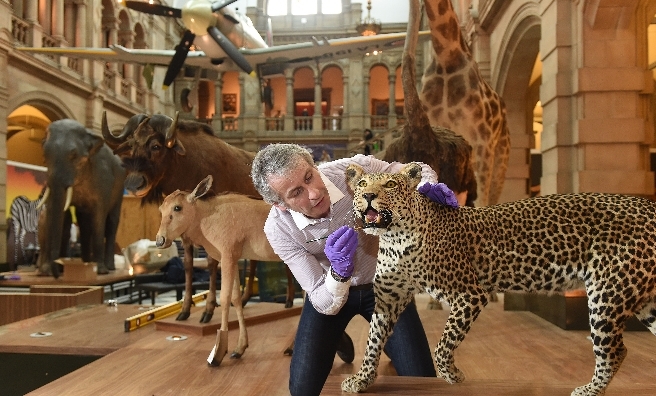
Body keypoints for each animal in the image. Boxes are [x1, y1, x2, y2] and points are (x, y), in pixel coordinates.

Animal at [38, 119, 127, 276]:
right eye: (45, 155)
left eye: (74, 155)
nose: (56, 275)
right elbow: (61, 217)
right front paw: (50, 271)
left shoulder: (103, 178)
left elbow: (99, 217)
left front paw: (101, 271)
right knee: (84, 224)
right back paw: (87, 264)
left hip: (119, 189)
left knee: (111, 223)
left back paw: (108, 267)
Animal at [340, 162, 652, 394]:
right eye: (362, 184)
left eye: (390, 185)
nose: (368, 196)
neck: (394, 238)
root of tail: (649, 207)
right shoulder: (388, 301)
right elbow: (373, 341)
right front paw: (362, 379)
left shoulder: (469, 294)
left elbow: (443, 344)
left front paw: (453, 375)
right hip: (645, 300)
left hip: (607, 296)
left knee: (616, 351)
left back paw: (589, 390)